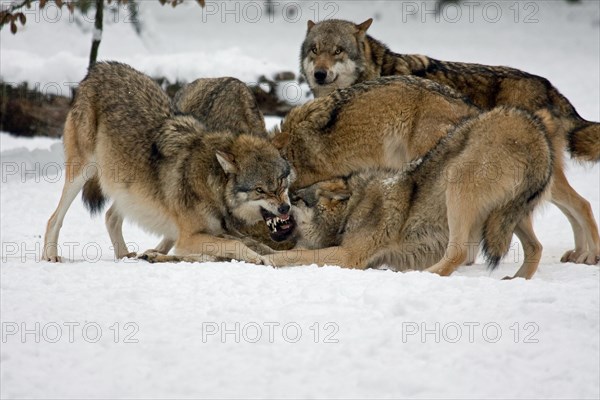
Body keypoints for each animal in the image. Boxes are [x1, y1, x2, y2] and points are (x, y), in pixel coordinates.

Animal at [40, 61, 296, 262]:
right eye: (260, 190)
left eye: (281, 183)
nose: (285, 208)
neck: (211, 182)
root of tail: (99, 68)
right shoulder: (189, 237)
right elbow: (238, 245)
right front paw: (259, 259)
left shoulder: (219, 230)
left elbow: (254, 244)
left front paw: (269, 256)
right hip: (82, 172)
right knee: (54, 218)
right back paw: (51, 255)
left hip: (127, 186)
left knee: (110, 216)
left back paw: (126, 256)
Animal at [268, 108, 552, 280]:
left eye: (294, 199)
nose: (282, 208)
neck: (353, 208)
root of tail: (533, 129)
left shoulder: (348, 256)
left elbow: (297, 254)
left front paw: (268, 257)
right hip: (508, 216)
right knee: (536, 247)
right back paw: (516, 280)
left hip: (456, 186)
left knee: (458, 253)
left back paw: (424, 275)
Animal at [300, 18, 600, 264]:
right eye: (315, 49)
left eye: (337, 50)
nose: (319, 74)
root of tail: (550, 88)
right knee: (573, 206)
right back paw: (577, 253)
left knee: (583, 204)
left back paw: (590, 255)